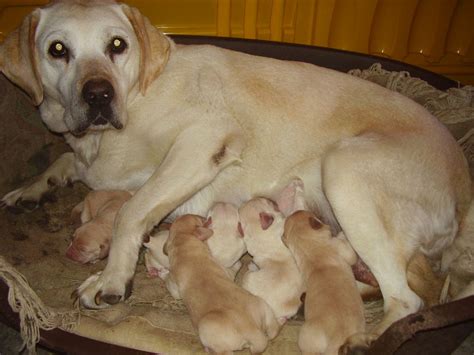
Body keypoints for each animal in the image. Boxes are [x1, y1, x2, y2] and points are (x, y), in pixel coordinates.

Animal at [165, 214, 280, 355]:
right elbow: (232, 269)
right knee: (274, 331)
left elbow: (169, 284)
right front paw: (237, 264)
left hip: (206, 327)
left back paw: (208, 349)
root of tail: (254, 332)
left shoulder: (174, 287)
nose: (204, 218)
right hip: (264, 307)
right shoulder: (225, 270)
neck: (185, 244)